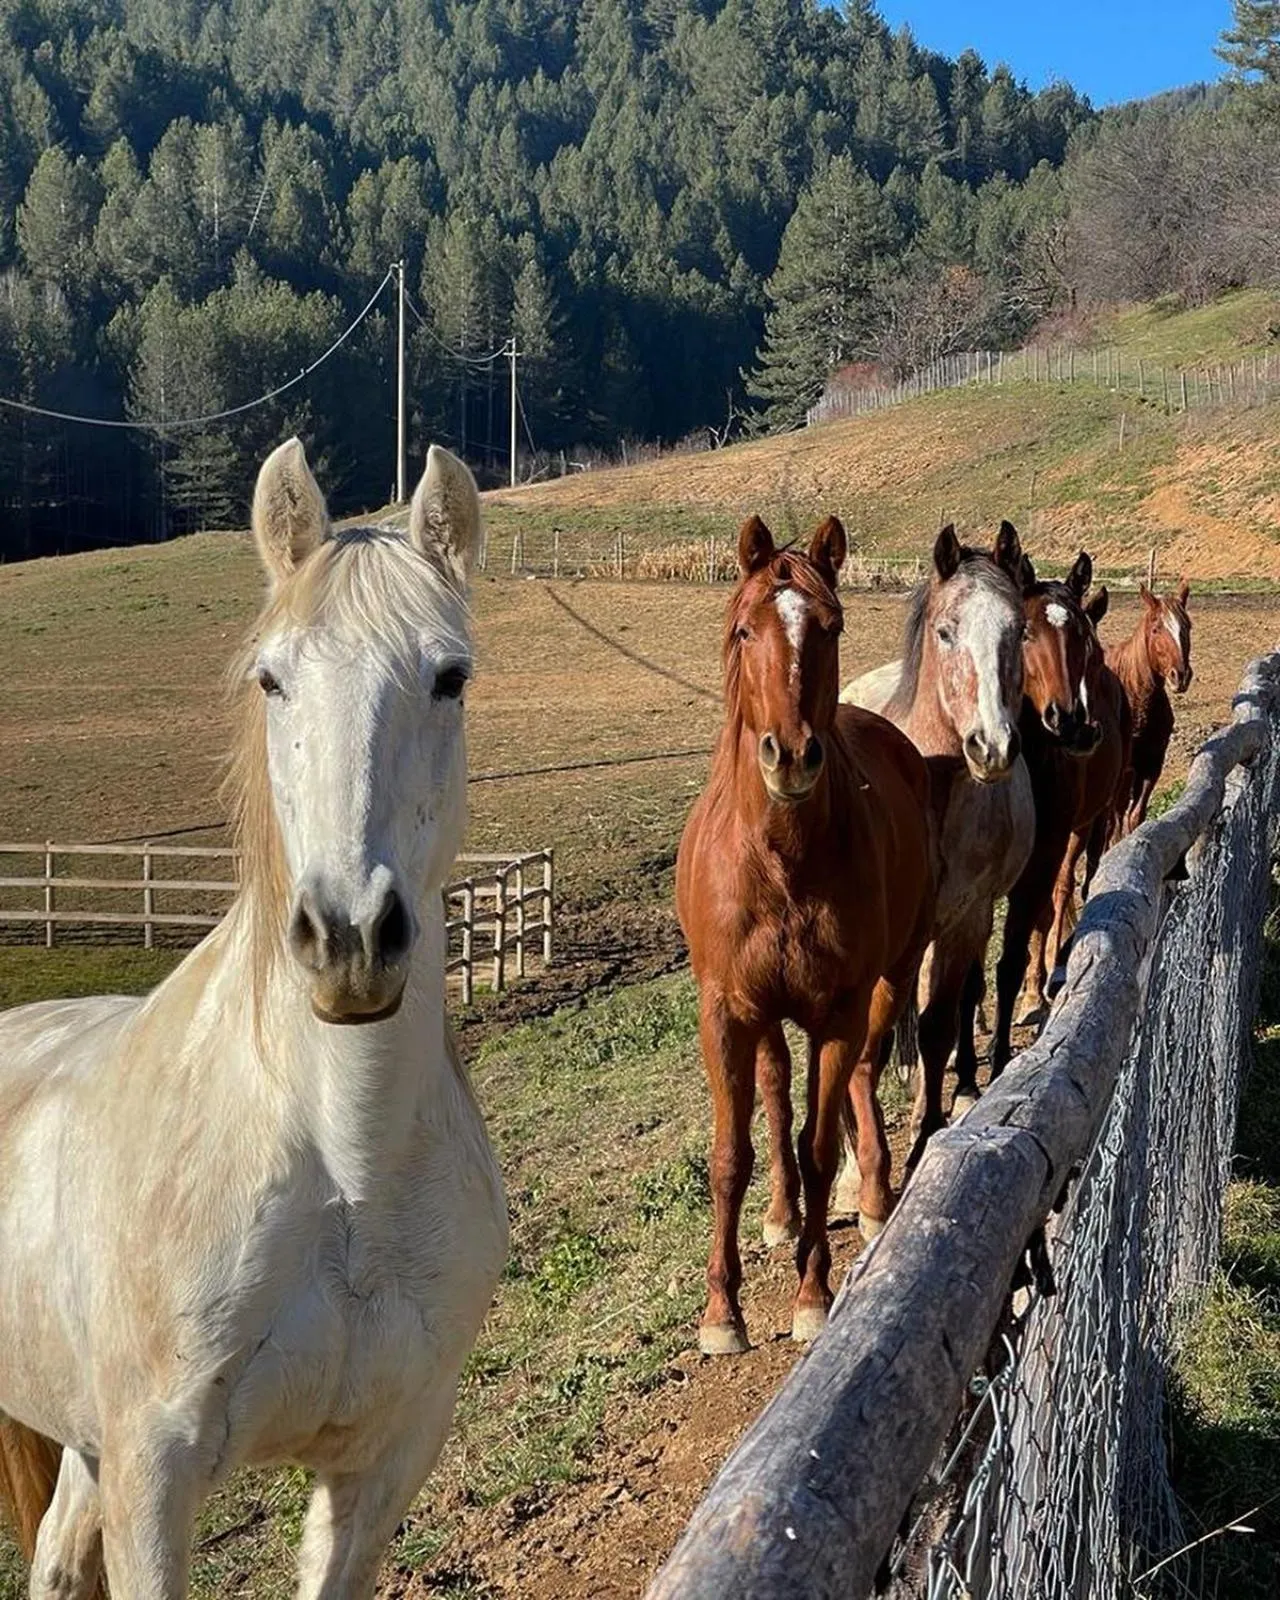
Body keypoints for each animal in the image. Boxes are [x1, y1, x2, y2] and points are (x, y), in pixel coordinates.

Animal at [0, 440, 508, 1599]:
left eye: (450, 677)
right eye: (271, 678)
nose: (349, 934)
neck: (344, 1172)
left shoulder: (387, 1458)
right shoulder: (153, 1473)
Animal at [675, 514, 935, 1355]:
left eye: (832, 626)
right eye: (744, 629)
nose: (791, 756)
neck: (782, 860)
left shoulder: (838, 1012)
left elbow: (819, 1149)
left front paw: (813, 1295)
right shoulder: (726, 1012)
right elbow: (732, 1156)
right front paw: (721, 1313)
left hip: (889, 979)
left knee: (856, 1081)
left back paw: (872, 1195)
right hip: (762, 1016)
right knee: (774, 1092)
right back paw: (781, 1216)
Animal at [837, 521, 1033, 1162]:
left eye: (1019, 630)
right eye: (946, 632)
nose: (992, 747)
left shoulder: (966, 917)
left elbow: (938, 1023)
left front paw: (926, 1134)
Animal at [1105, 579, 1193, 835]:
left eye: (1188, 627)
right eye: (1156, 629)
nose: (1180, 676)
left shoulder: (1152, 767)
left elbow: (1136, 817)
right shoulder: (1124, 773)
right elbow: (1115, 822)